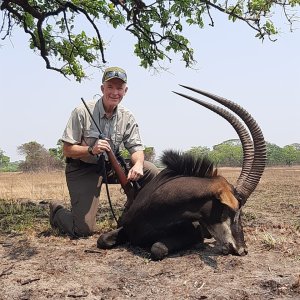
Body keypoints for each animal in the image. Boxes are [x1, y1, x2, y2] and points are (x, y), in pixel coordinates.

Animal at [97, 86, 266, 260]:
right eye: (234, 210)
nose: (242, 249)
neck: (154, 208)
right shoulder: (126, 228)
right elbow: (102, 239)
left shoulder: (194, 234)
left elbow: (158, 248)